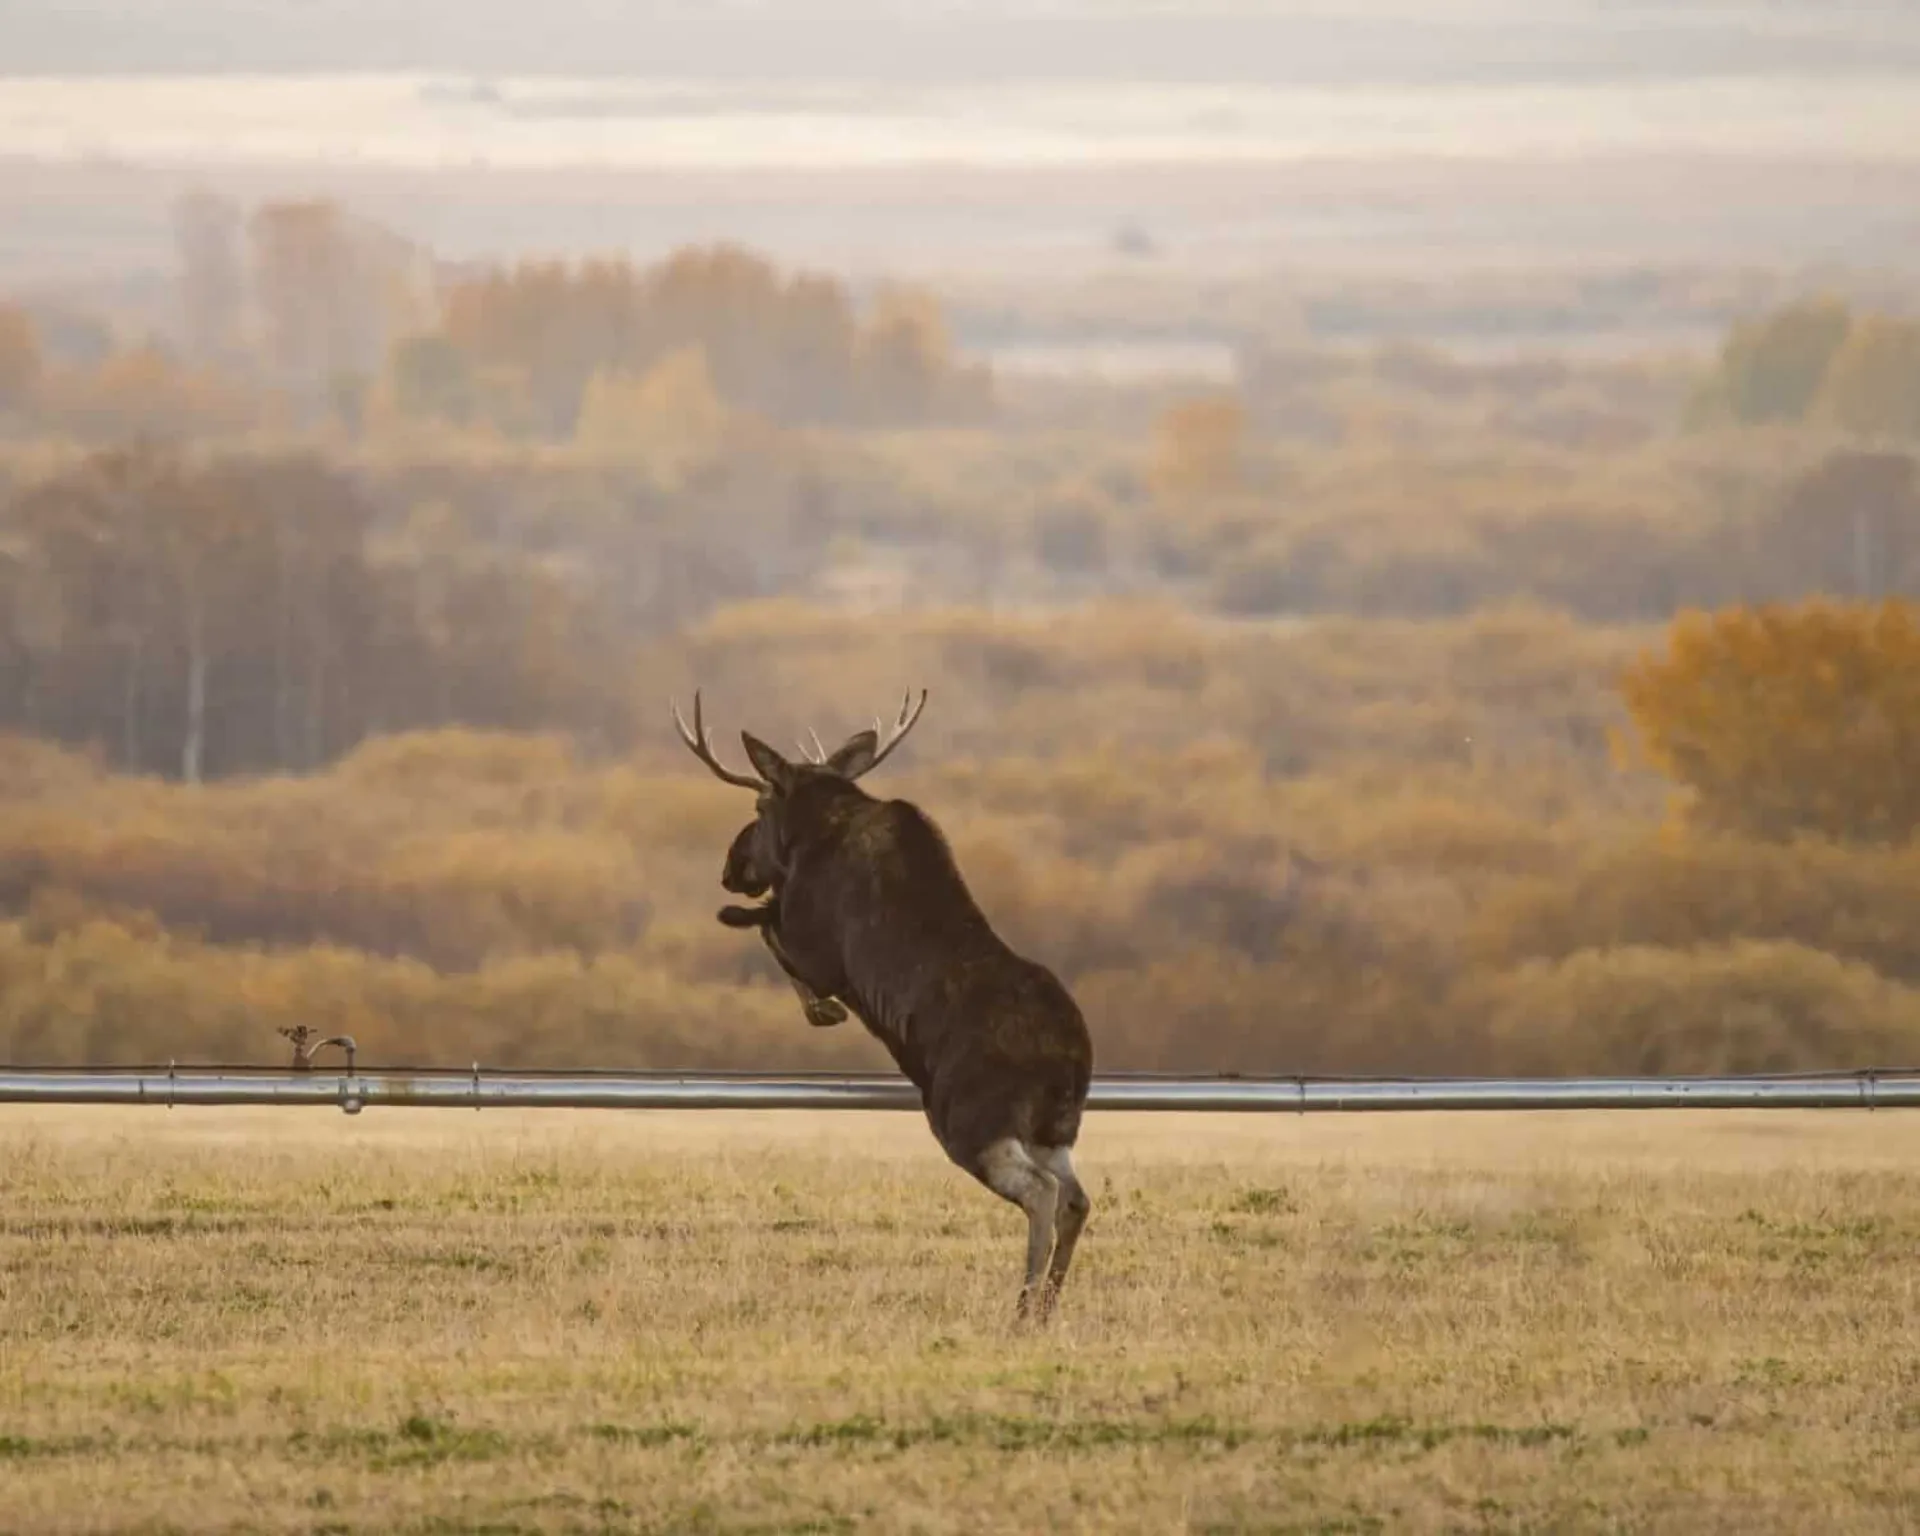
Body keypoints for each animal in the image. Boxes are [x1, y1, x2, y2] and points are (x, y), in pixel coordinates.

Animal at [673, 689, 1095, 1323]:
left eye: (759, 803)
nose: (731, 868)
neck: (810, 838)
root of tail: (1072, 1061)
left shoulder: (819, 948)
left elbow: (770, 934)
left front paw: (822, 1010)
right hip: (1055, 1131)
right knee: (1077, 1198)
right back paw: (1045, 1307)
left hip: (967, 1119)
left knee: (1042, 1194)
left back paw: (1022, 1311)